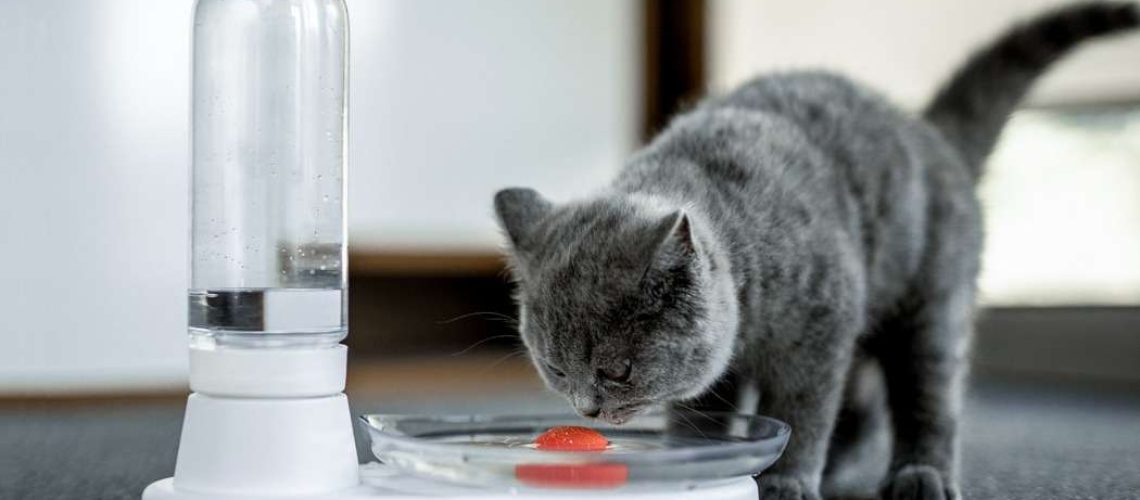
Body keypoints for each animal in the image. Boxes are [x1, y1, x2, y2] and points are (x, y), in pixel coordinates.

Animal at [492, 4, 1140, 500]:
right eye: (554, 369)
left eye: (616, 371)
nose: (586, 410)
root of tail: (928, 134)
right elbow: (705, 413)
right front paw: (700, 460)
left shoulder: (819, 333)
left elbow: (804, 412)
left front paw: (786, 480)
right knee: (863, 406)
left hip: (930, 299)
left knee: (928, 394)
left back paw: (920, 475)